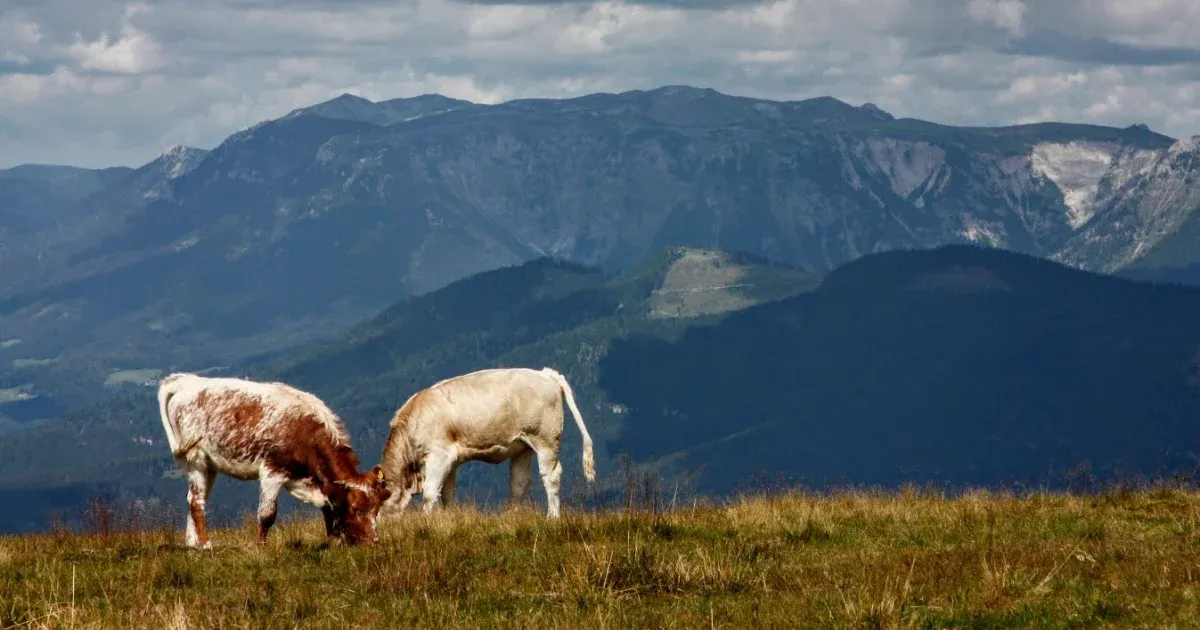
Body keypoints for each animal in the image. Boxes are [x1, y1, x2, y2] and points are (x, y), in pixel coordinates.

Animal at [157, 374, 391, 544]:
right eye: (356, 508)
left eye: (377, 508)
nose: (373, 541)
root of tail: (187, 381)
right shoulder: (273, 472)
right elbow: (267, 515)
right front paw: (261, 549)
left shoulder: (308, 480)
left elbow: (328, 508)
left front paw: (333, 542)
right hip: (195, 458)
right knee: (196, 502)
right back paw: (206, 545)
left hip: (209, 465)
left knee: (194, 498)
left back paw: (192, 545)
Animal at [379, 364, 595, 518]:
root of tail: (546, 374)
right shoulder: (450, 462)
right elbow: (446, 494)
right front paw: (446, 518)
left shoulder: (439, 456)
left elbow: (430, 493)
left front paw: (427, 522)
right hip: (523, 446)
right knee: (519, 482)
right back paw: (510, 516)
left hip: (546, 440)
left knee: (551, 476)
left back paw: (552, 517)